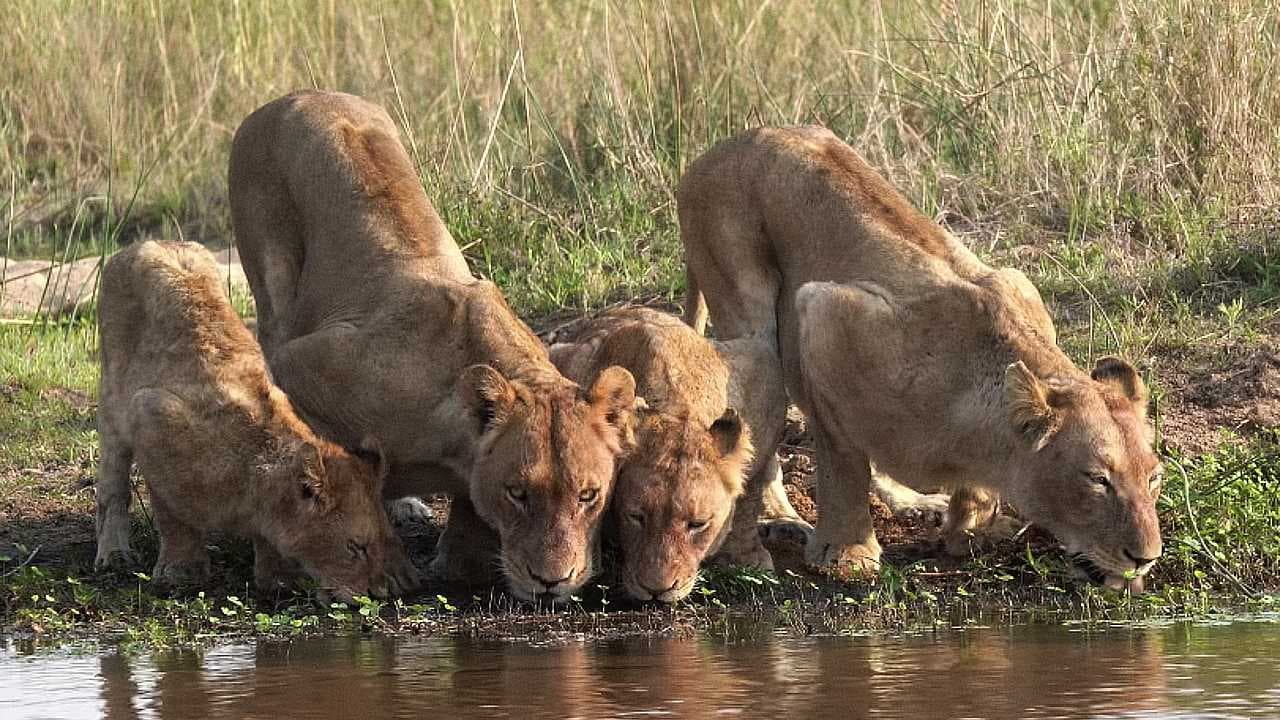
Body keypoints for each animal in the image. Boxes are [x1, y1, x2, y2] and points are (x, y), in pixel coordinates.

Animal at [96, 238, 414, 597]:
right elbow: (171, 513)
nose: (379, 593)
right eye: (356, 547)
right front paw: (181, 568)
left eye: (386, 541)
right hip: (113, 400)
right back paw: (114, 551)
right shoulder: (151, 415)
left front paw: (276, 576)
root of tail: (151, 242)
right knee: (113, 486)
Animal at [227, 90, 637, 599]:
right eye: (518, 493)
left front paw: (458, 555)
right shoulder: (301, 364)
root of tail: (294, 96)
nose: (551, 582)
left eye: (588, 495)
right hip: (273, 289)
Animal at [686, 126, 1167, 591]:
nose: (1146, 558)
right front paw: (848, 554)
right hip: (748, 308)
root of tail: (720, 147)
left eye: (1154, 477)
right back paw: (780, 517)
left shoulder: (1017, 285)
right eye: (1097, 479)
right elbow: (843, 461)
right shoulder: (825, 313)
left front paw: (971, 529)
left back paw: (914, 501)